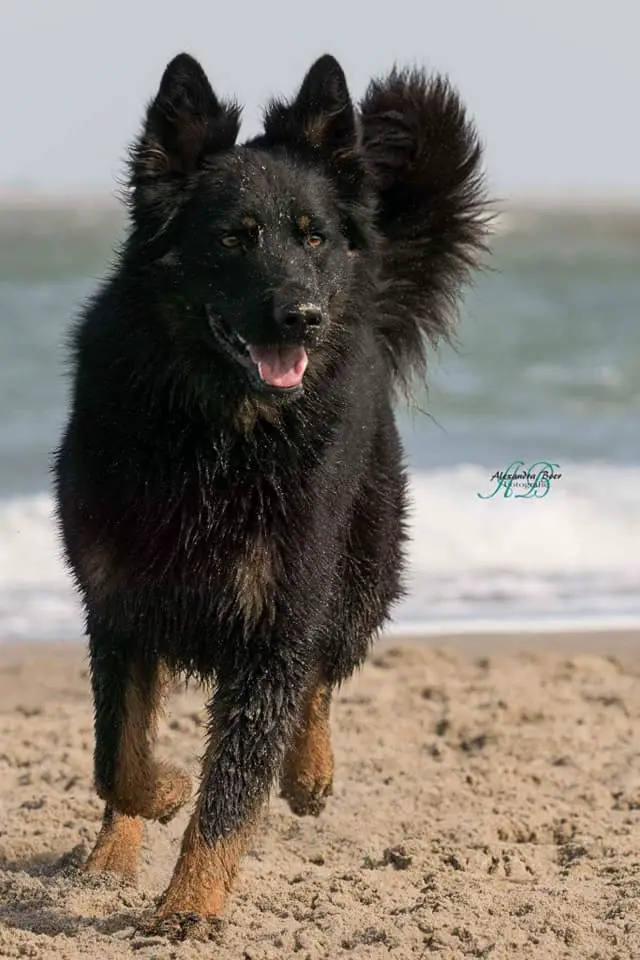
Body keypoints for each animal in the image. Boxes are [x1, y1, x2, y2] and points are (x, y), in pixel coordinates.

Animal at [53, 50, 484, 928]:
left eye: (313, 237)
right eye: (233, 237)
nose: (304, 316)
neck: (218, 433)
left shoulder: (273, 615)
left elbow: (233, 784)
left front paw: (190, 904)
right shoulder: (116, 603)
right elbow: (120, 755)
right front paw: (160, 796)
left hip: (357, 572)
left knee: (322, 672)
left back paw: (309, 772)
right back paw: (110, 854)